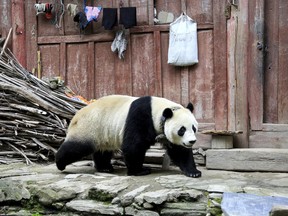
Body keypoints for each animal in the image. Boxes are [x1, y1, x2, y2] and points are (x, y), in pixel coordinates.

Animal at [55, 94, 200, 177]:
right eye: (182, 130)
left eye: (194, 128)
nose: (192, 141)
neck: (159, 110)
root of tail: (75, 116)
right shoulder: (141, 116)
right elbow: (134, 145)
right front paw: (139, 171)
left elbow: (179, 151)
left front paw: (193, 172)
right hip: (89, 128)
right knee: (76, 147)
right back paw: (60, 163)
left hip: (103, 133)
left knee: (103, 151)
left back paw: (105, 168)